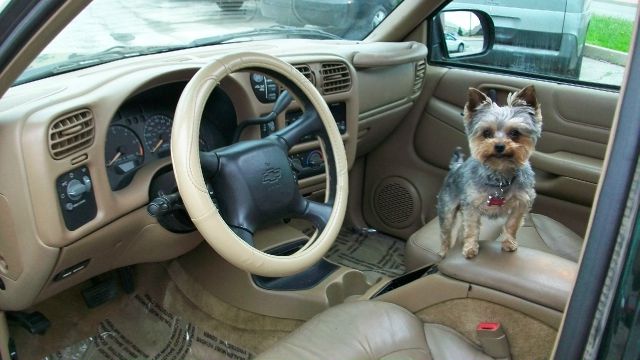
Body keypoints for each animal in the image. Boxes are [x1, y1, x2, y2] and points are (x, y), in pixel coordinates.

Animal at [436, 85, 540, 258]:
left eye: (515, 133)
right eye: (486, 133)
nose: (499, 146)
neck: (500, 175)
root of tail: (456, 167)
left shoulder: (522, 202)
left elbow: (512, 224)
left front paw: (509, 243)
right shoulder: (471, 205)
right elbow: (471, 228)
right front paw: (470, 248)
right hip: (447, 207)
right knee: (446, 232)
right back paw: (443, 252)